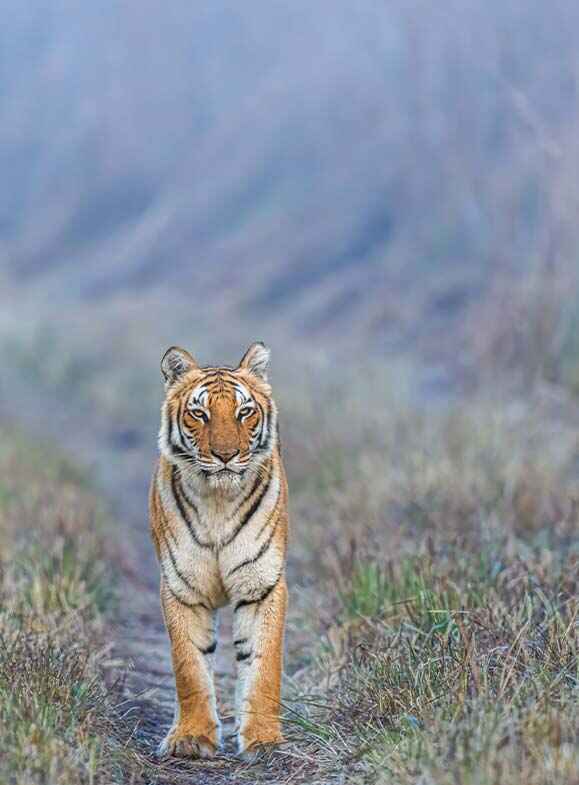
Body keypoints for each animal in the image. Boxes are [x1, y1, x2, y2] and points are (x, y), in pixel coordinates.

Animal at [147, 342, 288, 760]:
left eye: (244, 412)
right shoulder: (182, 588)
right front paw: (191, 739)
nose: (226, 455)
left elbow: (263, 665)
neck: (218, 502)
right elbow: (189, 667)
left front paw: (264, 740)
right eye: (199, 413)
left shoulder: (262, 586)